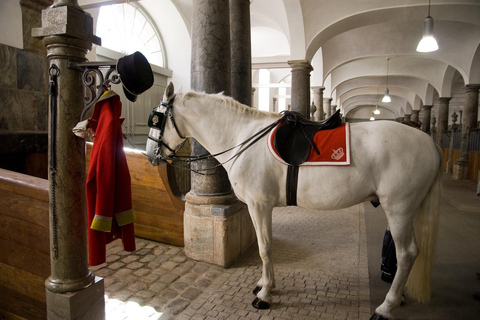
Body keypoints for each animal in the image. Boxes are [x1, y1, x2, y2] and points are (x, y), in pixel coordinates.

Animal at [146, 83, 442, 320]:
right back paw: (398, 296)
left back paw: (385, 307)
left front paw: (265, 294)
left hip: (399, 208)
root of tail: (428, 141)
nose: (150, 156)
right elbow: (267, 247)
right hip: (407, 210)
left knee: (407, 253)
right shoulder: (261, 207)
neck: (241, 137)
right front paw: (265, 283)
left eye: (156, 119)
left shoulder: (259, 205)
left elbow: (265, 248)